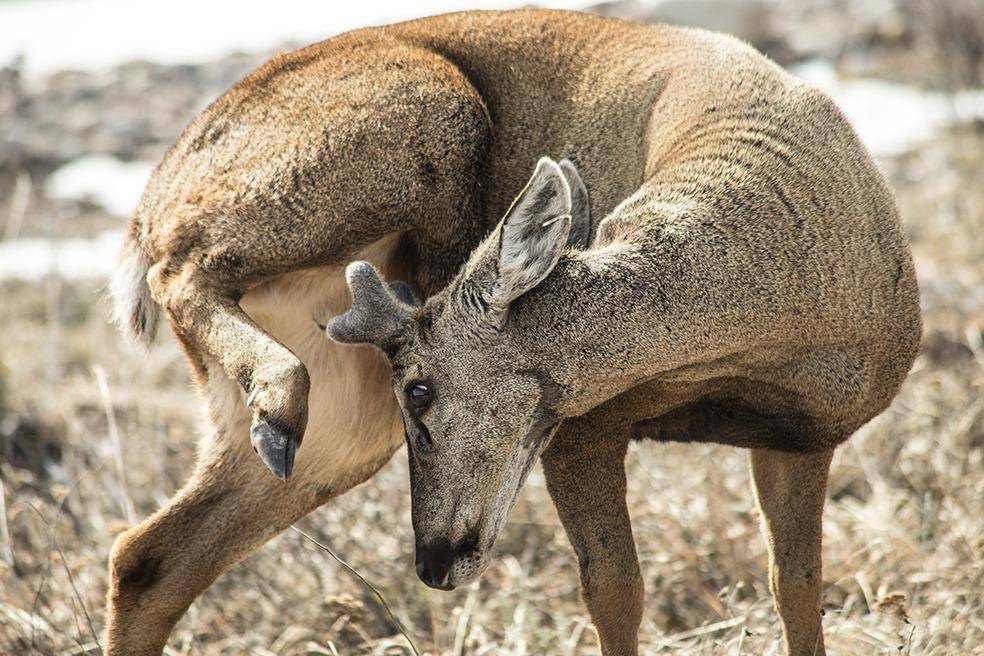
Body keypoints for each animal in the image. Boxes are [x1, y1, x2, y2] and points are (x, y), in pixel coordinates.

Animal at [104, 7, 920, 652]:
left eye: (419, 390)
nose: (433, 561)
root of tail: (150, 201)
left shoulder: (803, 438)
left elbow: (797, 589)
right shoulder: (583, 426)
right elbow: (616, 592)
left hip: (343, 419)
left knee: (147, 558)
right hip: (420, 116)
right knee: (183, 265)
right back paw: (276, 403)